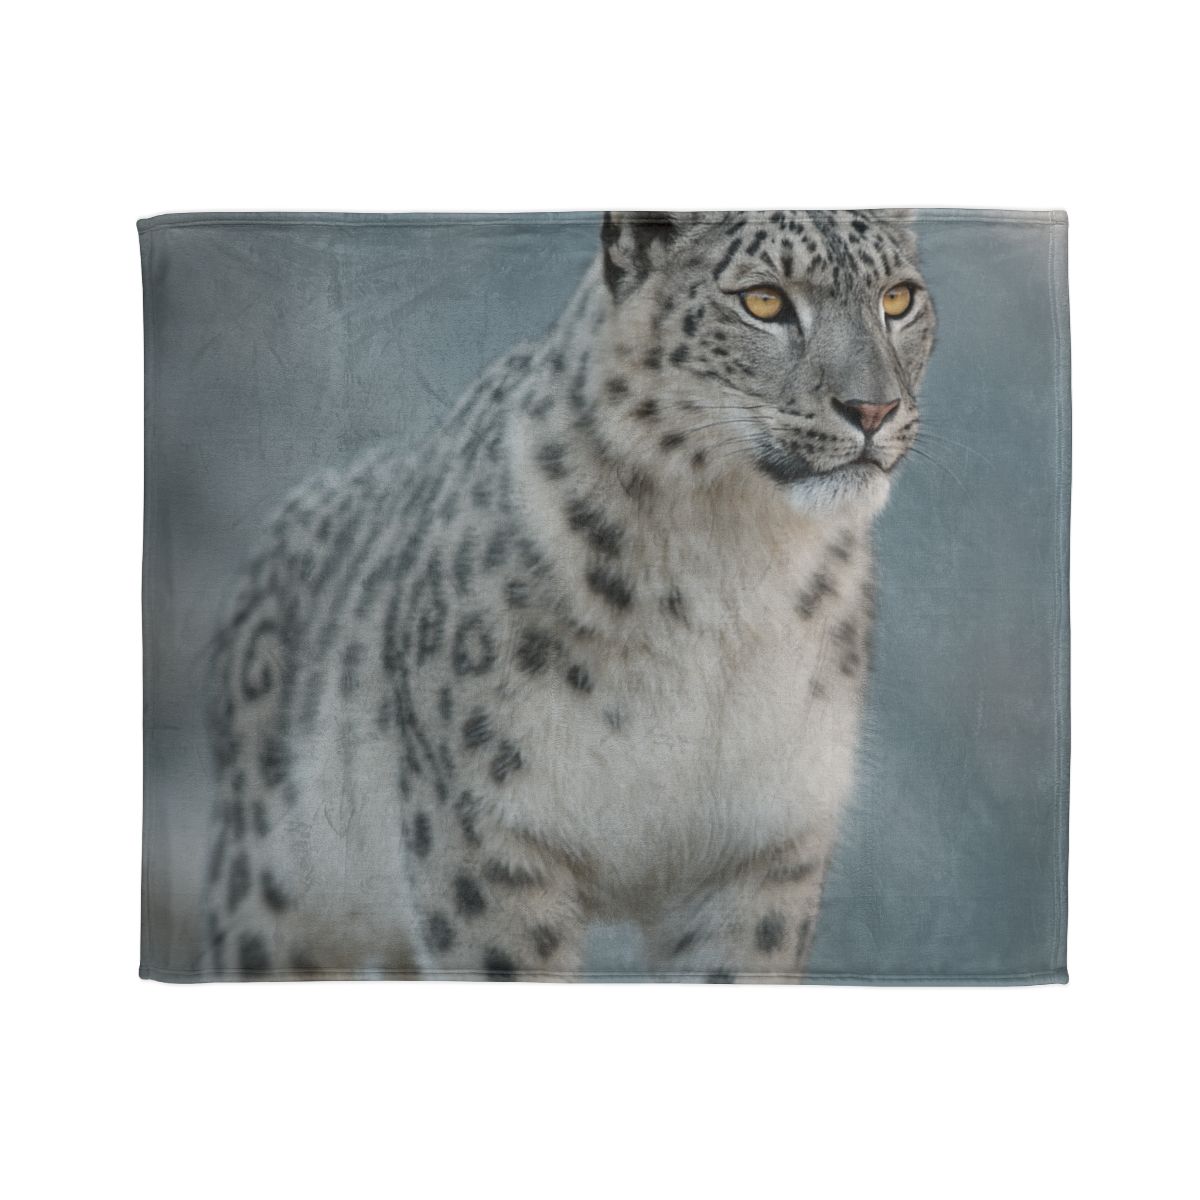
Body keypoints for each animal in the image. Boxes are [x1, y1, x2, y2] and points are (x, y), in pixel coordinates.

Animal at [204, 210, 936, 982]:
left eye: (897, 298)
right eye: (763, 300)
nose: (873, 408)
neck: (734, 566)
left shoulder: (766, 844)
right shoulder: (487, 833)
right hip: (271, 898)